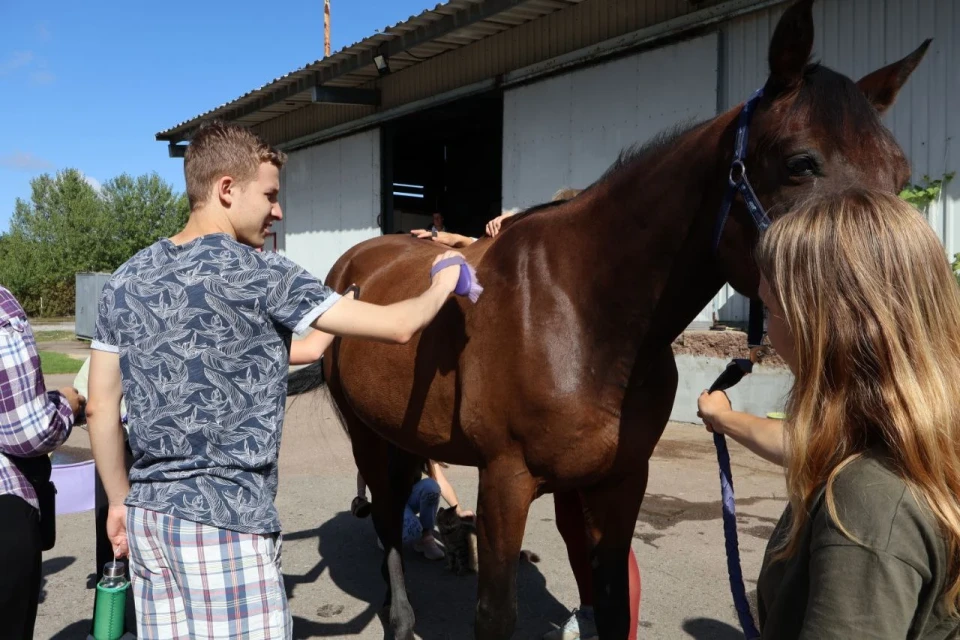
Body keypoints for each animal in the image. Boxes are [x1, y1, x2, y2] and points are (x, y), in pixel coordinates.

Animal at [286, 2, 928, 636]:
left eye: (901, 174)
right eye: (800, 163)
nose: (897, 321)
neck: (582, 318)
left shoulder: (620, 483)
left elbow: (616, 599)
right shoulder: (504, 482)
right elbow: (496, 613)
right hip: (367, 435)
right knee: (387, 523)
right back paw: (399, 615)